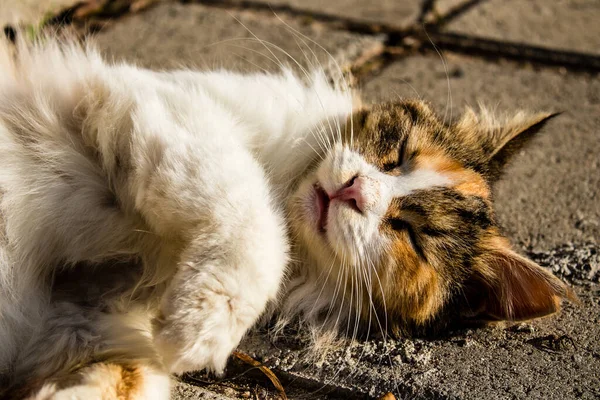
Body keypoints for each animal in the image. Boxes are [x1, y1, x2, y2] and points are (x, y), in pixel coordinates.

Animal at [0, 36, 572, 398]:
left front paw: (184, 331)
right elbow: (258, 215)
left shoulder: (88, 317)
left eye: (412, 235)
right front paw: (207, 321)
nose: (354, 190)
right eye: (398, 154)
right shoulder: (164, 106)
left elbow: (126, 375)